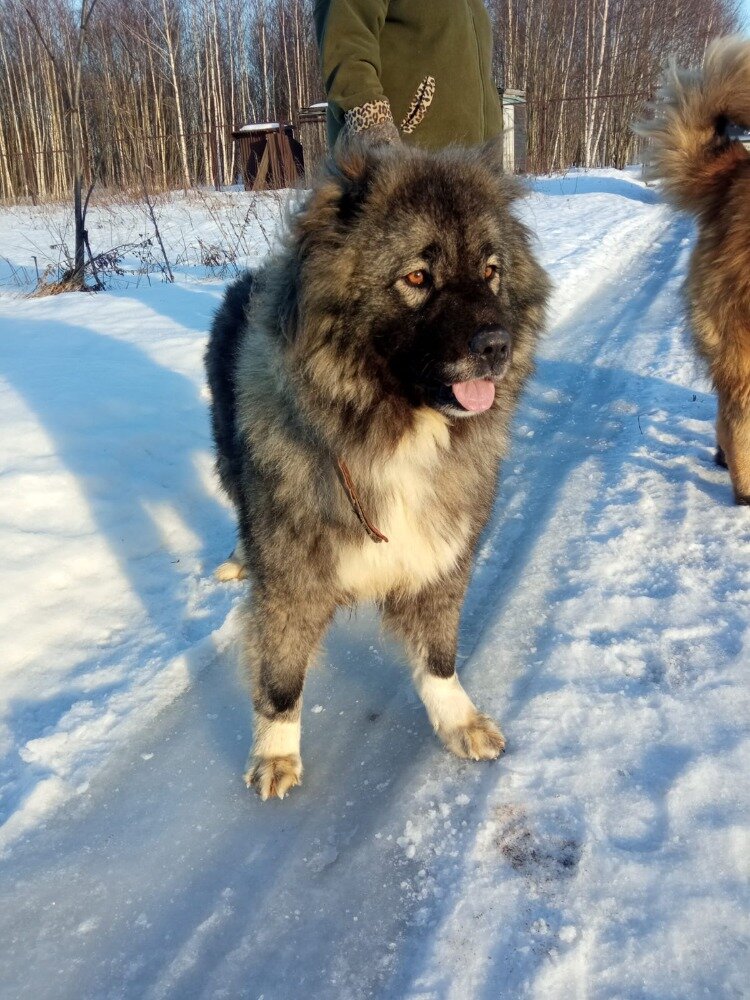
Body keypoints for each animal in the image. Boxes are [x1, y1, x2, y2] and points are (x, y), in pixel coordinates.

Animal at [209, 141, 548, 800]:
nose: (497, 345)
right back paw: (237, 558)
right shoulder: (292, 576)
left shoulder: (443, 557)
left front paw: (457, 719)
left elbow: (439, 655)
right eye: (417, 278)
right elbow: (282, 674)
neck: (395, 434)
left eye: (490, 271)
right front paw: (276, 753)